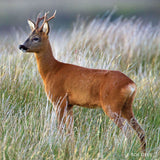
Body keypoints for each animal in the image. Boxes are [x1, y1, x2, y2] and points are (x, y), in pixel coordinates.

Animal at [19, 11, 146, 152]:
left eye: (36, 38)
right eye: (28, 35)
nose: (21, 46)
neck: (51, 71)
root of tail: (131, 84)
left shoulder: (59, 99)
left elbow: (61, 128)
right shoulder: (70, 104)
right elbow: (70, 130)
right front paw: (70, 147)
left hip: (111, 105)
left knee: (128, 132)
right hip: (127, 106)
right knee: (140, 131)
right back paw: (142, 153)